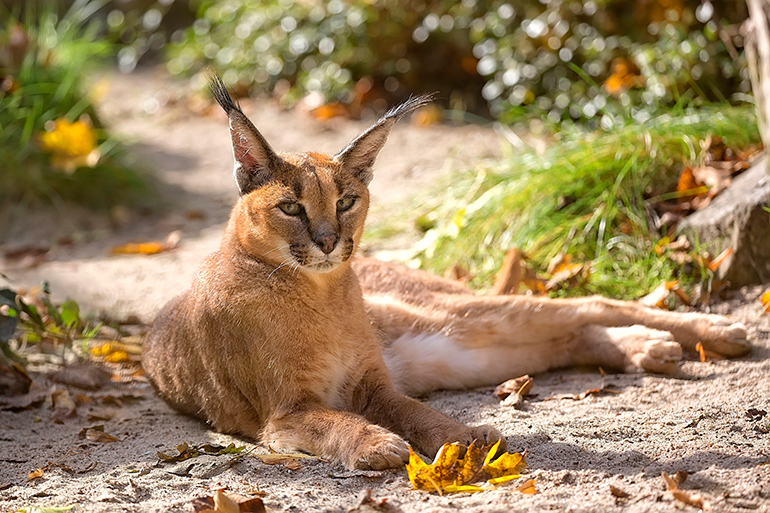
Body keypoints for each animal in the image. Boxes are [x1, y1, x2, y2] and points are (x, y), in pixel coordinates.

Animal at [141, 74, 748, 470]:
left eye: (345, 201)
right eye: (291, 207)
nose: (328, 241)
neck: (322, 292)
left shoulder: (373, 384)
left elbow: (416, 414)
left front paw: (463, 441)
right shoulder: (285, 413)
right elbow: (334, 422)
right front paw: (378, 445)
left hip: (450, 317)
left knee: (587, 306)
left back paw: (712, 332)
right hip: (457, 350)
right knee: (567, 333)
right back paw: (650, 347)